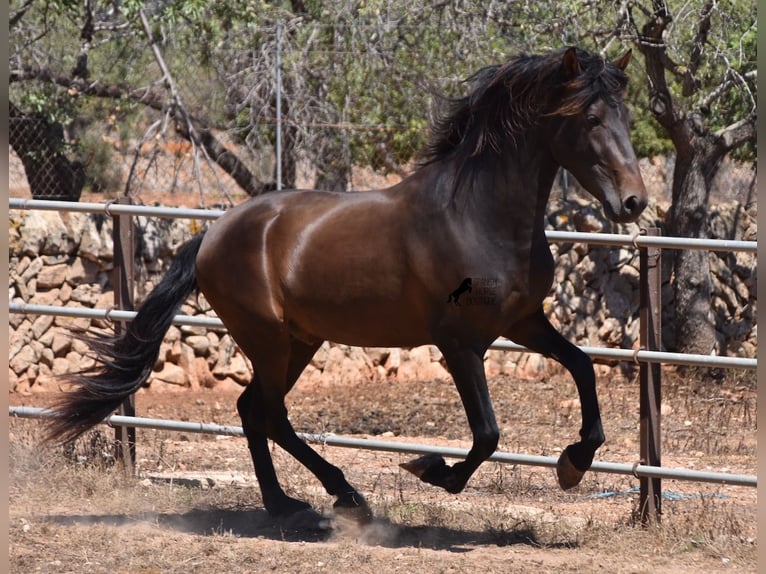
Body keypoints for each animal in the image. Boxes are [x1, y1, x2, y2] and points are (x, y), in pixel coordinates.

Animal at [45, 47, 648, 528]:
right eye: (591, 117)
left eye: (627, 116)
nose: (634, 202)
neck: (479, 215)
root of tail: (214, 231)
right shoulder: (459, 343)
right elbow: (487, 434)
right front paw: (432, 469)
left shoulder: (523, 322)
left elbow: (583, 368)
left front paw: (573, 463)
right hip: (267, 339)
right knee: (268, 412)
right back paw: (329, 498)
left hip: (298, 341)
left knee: (253, 410)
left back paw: (300, 502)